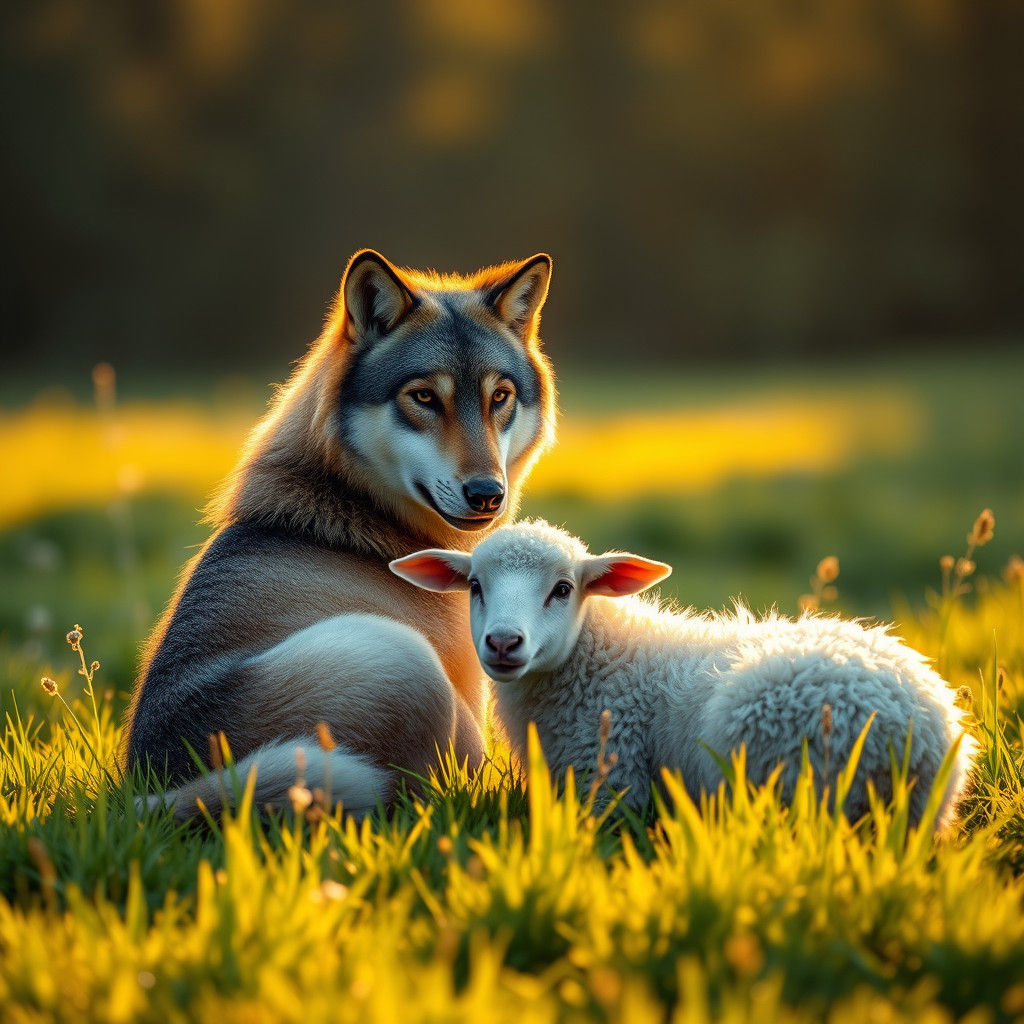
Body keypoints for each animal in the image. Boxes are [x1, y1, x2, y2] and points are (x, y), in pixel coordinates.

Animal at [124, 249, 556, 817]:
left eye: (500, 397)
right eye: (423, 397)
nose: (487, 493)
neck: (355, 515)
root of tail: (160, 795)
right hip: (400, 656)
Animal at [391, 519, 975, 828]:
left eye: (563, 588)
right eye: (474, 587)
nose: (503, 643)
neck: (597, 658)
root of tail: (912, 735)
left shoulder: (613, 778)